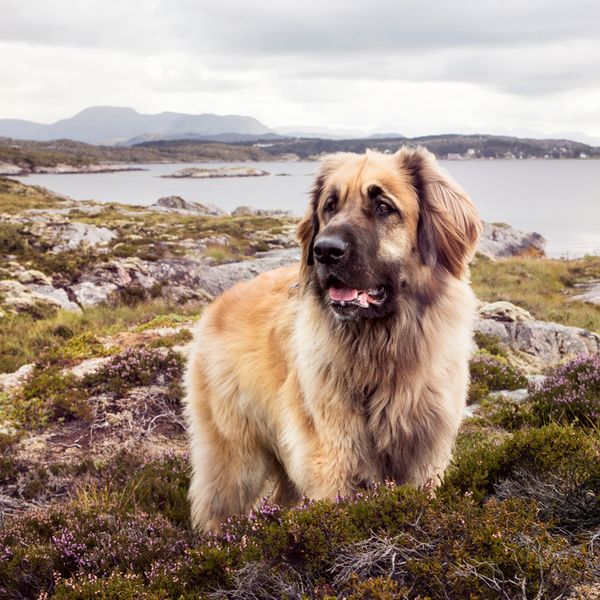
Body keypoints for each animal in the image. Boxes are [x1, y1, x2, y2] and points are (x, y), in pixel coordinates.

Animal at [185, 145, 480, 528]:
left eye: (383, 206)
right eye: (330, 206)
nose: (325, 250)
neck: (380, 351)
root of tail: (216, 306)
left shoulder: (423, 461)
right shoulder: (334, 460)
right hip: (236, 462)